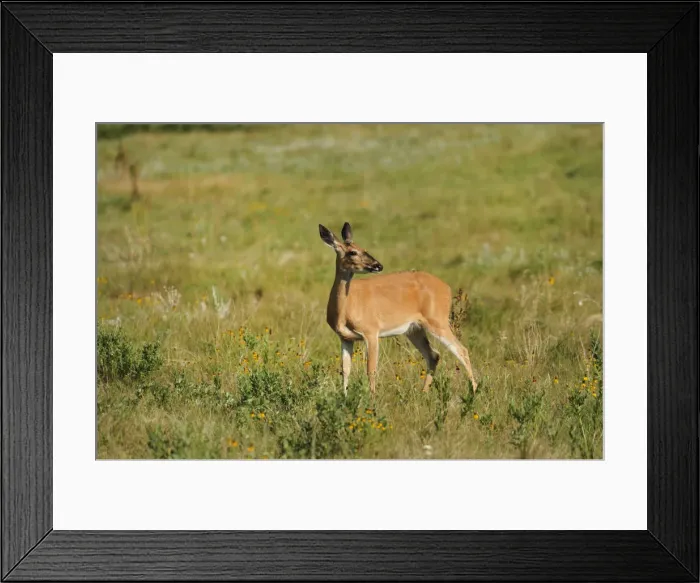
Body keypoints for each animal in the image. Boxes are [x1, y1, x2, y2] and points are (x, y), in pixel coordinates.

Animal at [319, 222, 477, 397]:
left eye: (363, 249)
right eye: (352, 252)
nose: (378, 265)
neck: (345, 309)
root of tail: (447, 288)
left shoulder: (371, 331)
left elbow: (371, 370)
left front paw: (372, 398)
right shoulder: (345, 338)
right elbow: (345, 370)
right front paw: (345, 397)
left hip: (437, 320)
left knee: (462, 350)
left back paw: (473, 392)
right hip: (414, 329)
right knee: (433, 355)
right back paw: (423, 393)